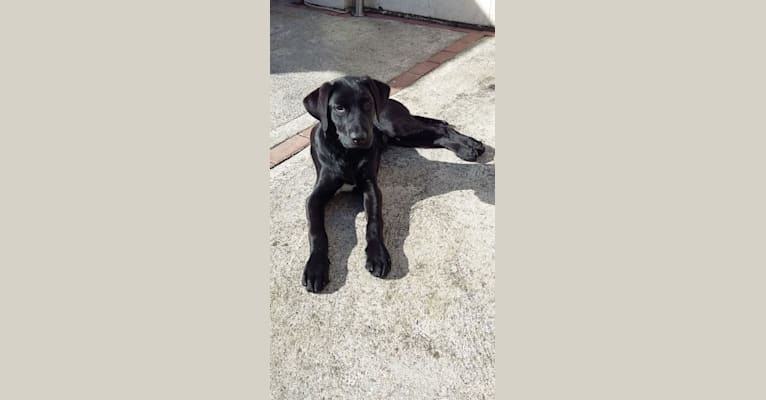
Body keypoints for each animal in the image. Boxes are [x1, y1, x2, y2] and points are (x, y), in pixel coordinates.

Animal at [302, 76, 486, 294]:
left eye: (367, 103)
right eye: (339, 108)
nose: (361, 138)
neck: (347, 153)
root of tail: (391, 100)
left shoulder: (371, 187)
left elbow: (374, 221)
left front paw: (378, 255)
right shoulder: (315, 197)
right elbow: (317, 232)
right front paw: (316, 268)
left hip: (397, 127)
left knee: (441, 129)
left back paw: (469, 146)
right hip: (404, 137)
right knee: (439, 135)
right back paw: (468, 147)